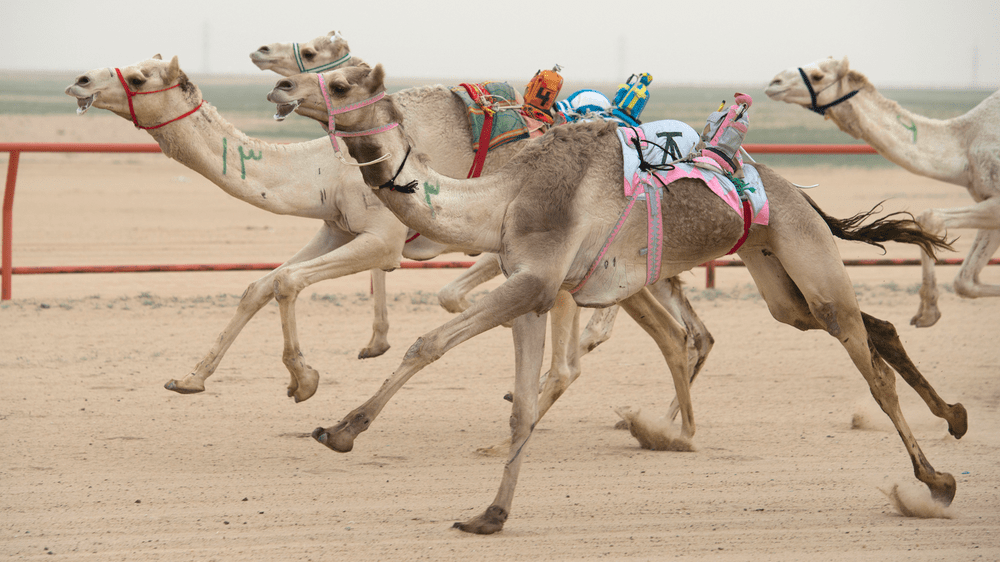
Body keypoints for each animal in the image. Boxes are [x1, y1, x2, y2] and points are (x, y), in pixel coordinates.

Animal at [267, 64, 965, 534]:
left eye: (339, 83)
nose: (279, 90)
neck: (507, 194)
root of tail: (796, 192)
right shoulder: (534, 291)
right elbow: (523, 405)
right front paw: (490, 514)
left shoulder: (535, 281)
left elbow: (428, 343)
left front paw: (339, 429)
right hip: (777, 275)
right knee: (859, 326)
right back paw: (954, 416)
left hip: (805, 252)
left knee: (868, 364)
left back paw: (935, 481)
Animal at [765, 56, 1000, 327]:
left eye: (818, 76)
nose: (774, 82)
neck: (963, 145)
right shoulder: (989, 200)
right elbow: (965, 282)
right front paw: (927, 313)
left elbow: (930, 218)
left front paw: (928, 312)